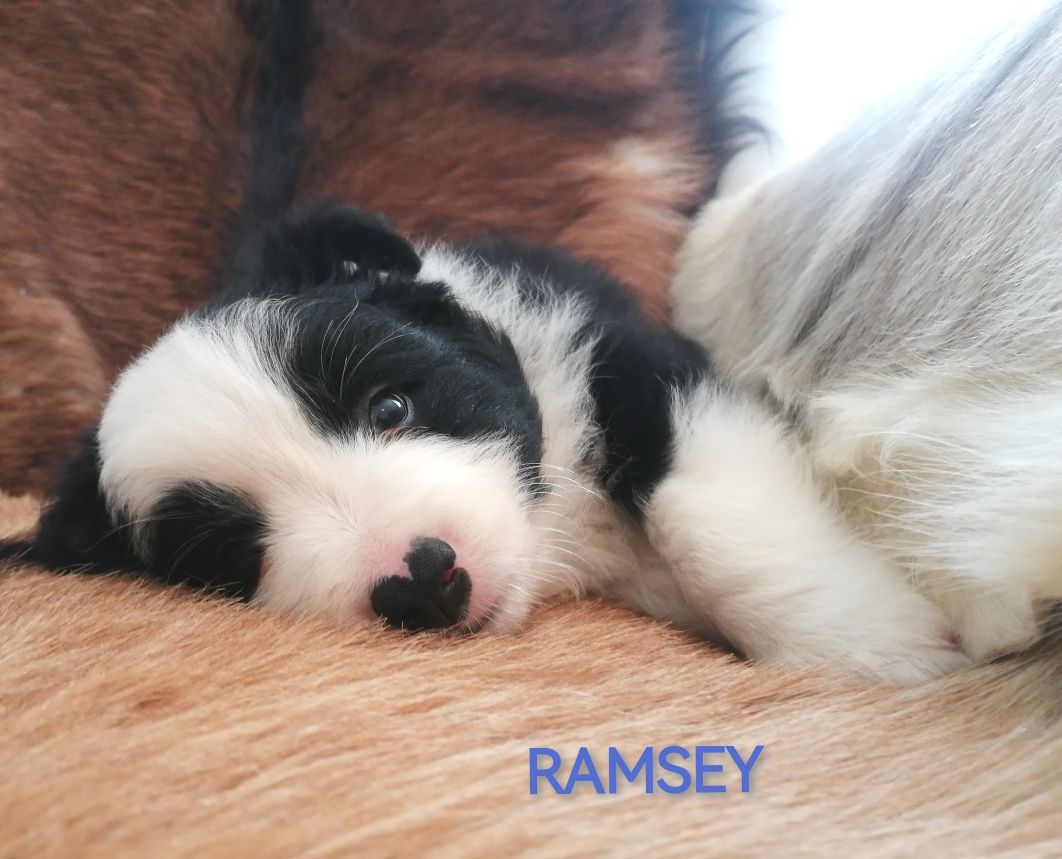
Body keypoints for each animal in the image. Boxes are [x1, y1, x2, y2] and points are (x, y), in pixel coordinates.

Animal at [6, 202, 972, 683]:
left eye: (391, 406)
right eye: (234, 550)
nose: (423, 578)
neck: (560, 535)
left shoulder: (638, 364)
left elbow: (698, 509)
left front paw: (870, 647)